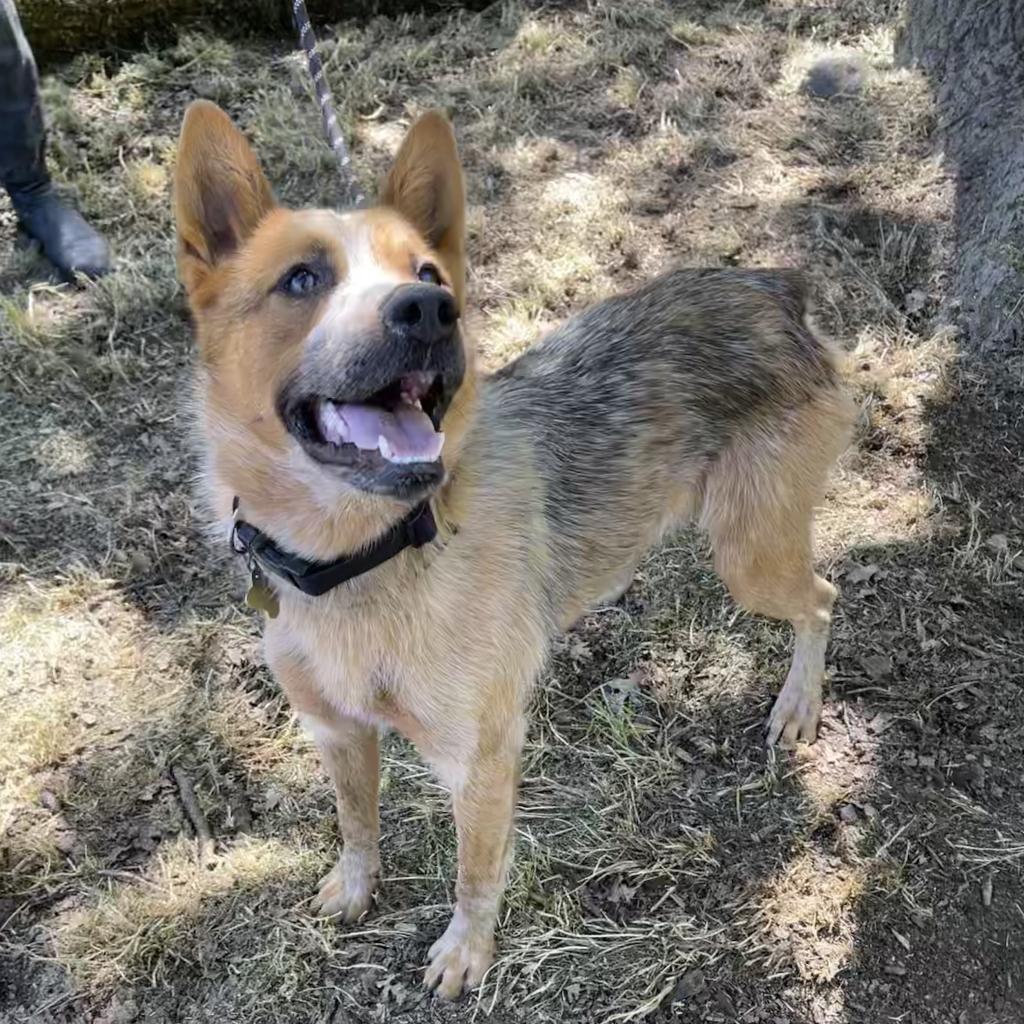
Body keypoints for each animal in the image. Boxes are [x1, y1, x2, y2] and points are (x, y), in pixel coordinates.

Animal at [174, 101, 856, 999]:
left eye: (430, 270)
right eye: (301, 280)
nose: (430, 311)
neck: (367, 557)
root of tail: (773, 288)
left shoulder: (480, 758)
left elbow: (475, 871)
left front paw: (467, 952)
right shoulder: (335, 732)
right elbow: (357, 823)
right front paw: (357, 888)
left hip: (751, 555)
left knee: (823, 600)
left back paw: (798, 705)